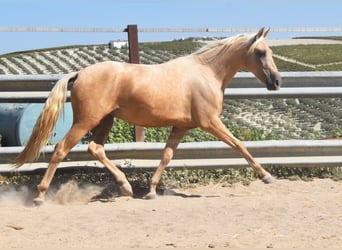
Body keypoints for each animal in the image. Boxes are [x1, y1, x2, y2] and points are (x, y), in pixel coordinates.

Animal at [14, 27, 282, 204]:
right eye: (260, 52)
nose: (277, 82)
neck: (207, 73)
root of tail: (79, 73)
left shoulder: (181, 127)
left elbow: (166, 155)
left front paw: (152, 191)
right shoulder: (210, 122)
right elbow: (239, 145)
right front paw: (266, 176)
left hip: (106, 120)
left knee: (95, 148)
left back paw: (126, 187)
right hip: (86, 121)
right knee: (61, 149)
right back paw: (40, 195)